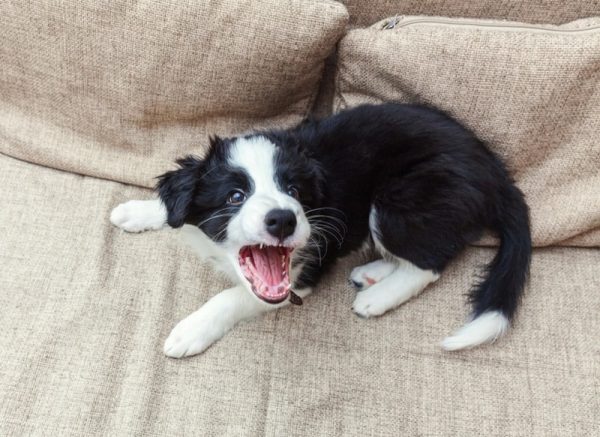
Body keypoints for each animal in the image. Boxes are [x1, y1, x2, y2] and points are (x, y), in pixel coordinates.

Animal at [110, 103, 532, 358]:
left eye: (294, 190)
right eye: (235, 196)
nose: (283, 219)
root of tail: (495, 172)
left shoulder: (304, 270)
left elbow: (232, 297)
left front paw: (189, 330)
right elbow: (172, 207)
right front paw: (137, 210)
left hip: (402, 198)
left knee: (430, 260)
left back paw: (377, 296)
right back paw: (373, 273)